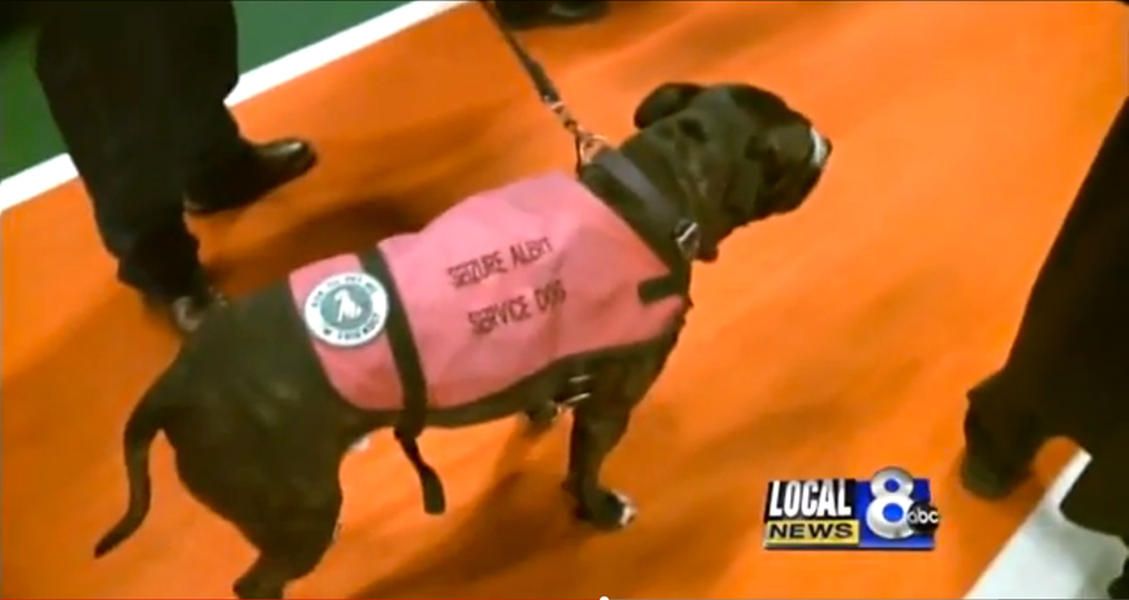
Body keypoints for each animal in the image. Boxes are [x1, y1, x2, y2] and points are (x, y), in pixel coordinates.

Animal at [94, 81, 830, 596]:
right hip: (299, 515)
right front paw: (596, 509)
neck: (655, 192)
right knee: (255, 584)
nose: (827, 141)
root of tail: (173, 385)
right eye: (805, 153)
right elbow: (584, 469)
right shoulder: (609, 408)